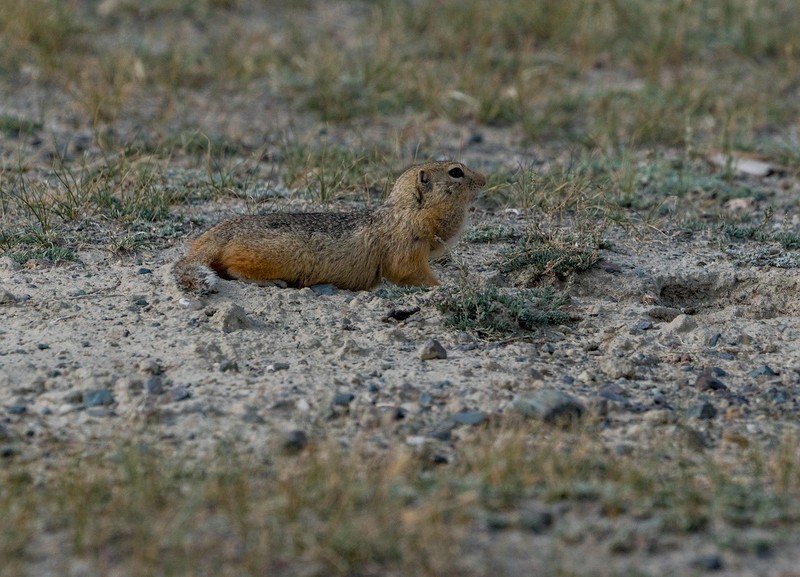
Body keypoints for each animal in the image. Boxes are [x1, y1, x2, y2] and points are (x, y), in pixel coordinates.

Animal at [173, 161, 488, 292]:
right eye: (456, 172)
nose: (484, 180)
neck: (406, 210)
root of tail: (218, 234)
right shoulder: (406, 246)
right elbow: (408, 271)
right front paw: (441, 286)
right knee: (234, 270)